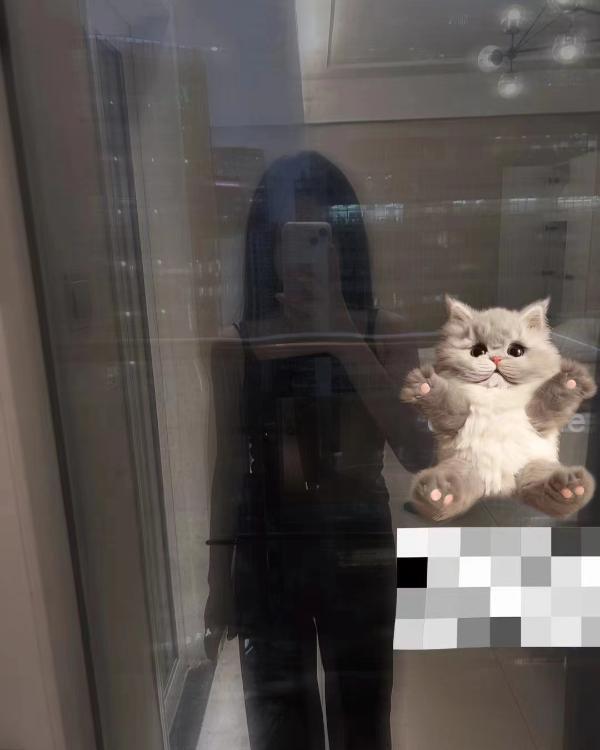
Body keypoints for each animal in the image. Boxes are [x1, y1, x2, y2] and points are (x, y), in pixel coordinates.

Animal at [400, 296, 597, 521]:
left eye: (515, 351)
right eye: (477, 351)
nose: (495, 358)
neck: (497, 395)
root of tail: (500, 490)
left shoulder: (536, 416)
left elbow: (551, 396)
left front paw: (571, 381)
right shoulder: (459, 415)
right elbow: (444, 400)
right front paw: (423, 386)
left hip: (534, 468)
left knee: (546, 493)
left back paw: (569, 488)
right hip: (462, 467)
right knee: (449, 495)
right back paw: (437, 493)